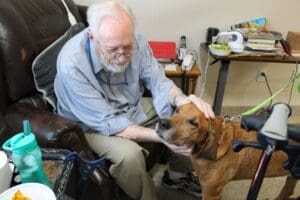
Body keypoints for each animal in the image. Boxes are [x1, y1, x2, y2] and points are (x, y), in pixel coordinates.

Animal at [157, 103, 298, 200]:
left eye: (194, 123)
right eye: (177, 110)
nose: (162, 123)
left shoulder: (211, 194)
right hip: (292, 175)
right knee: (287, 191)